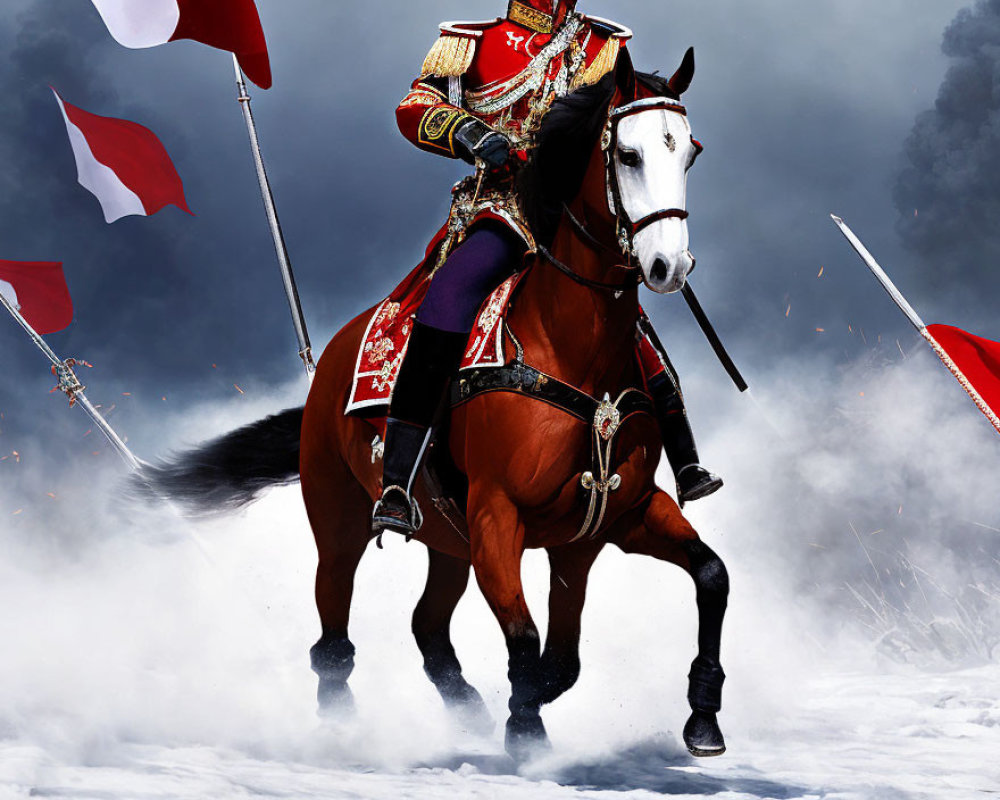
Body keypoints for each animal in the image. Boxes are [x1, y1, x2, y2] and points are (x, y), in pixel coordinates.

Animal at [143, 53, 728, 760]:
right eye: (628, 154)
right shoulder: (498, 516)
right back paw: (343, 723)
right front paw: (525, 736)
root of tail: (327, 365)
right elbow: (528, 641)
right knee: (333, 624)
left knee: (428, 625)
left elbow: (696, 584)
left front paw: (702, 717)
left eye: (691, 151)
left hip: (449, 540)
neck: (569, 347)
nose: (670, 265)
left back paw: (468, 709)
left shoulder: (610, 522)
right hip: (341, 517)